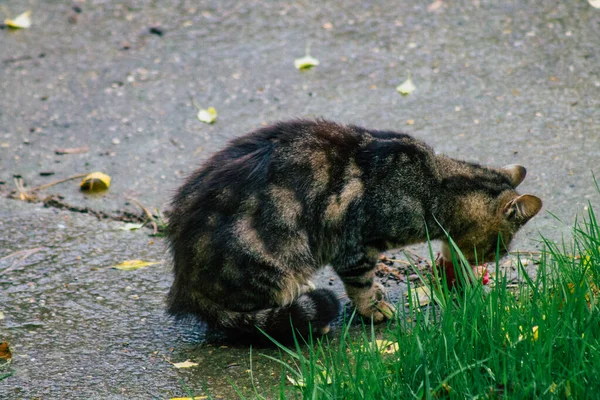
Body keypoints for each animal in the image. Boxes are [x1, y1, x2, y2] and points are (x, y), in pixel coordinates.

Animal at [165, 118, 544, 340]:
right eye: (500, 249)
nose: (489, 262)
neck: (435, 186)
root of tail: (184, 286)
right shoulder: (356, 246)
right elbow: (361, 284)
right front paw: (374, 309)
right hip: (275, 258)